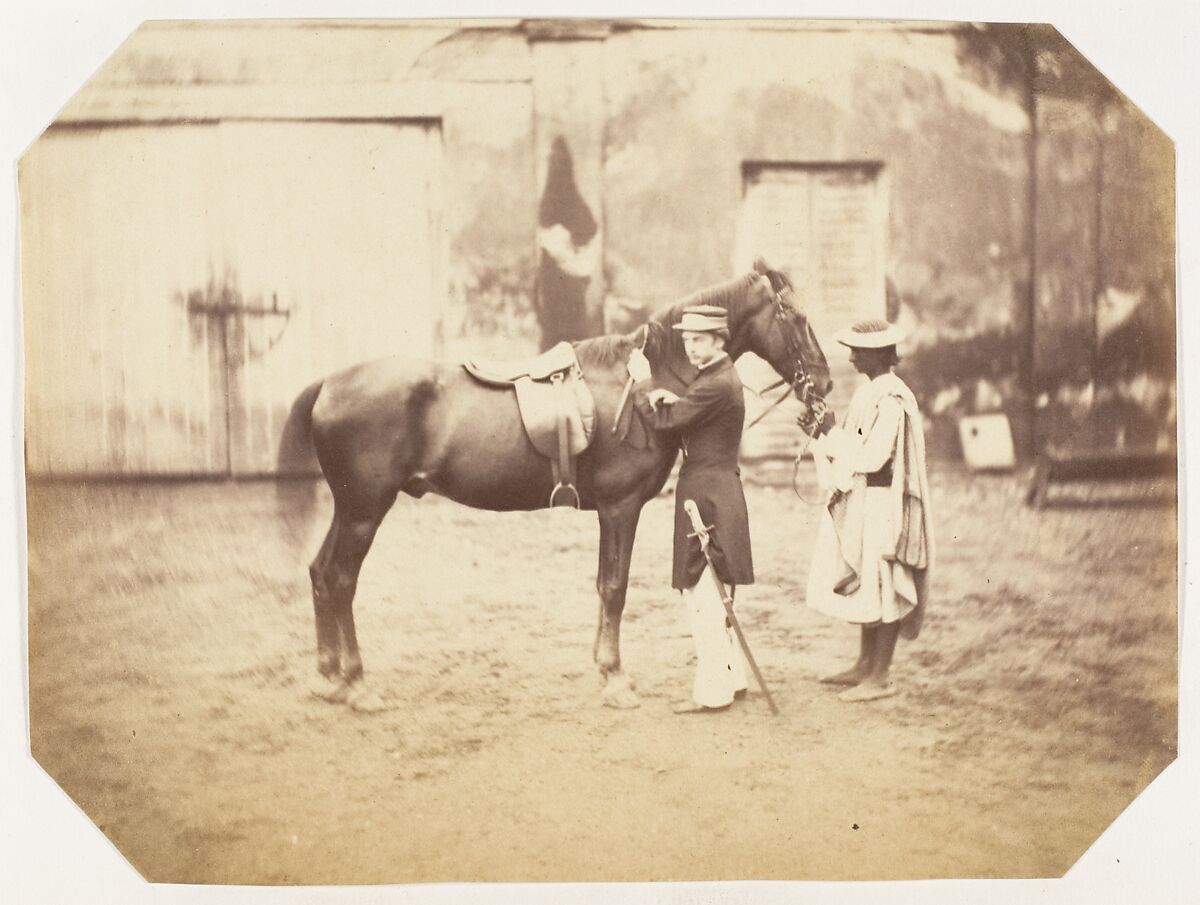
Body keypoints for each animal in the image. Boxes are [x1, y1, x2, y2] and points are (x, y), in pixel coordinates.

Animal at [274, 256, 830, 710]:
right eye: (796, 317)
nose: (823, 383)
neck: (641, 382)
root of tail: (330, 382)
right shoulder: (621, 508)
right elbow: (615, 587)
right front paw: (615, 679)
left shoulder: (612, 512)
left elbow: (606, 586)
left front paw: (606, 670)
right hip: (366, 511)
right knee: (340, 580)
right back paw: (357, 684)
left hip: (350, 509)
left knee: (321, 574)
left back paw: (329, 678)